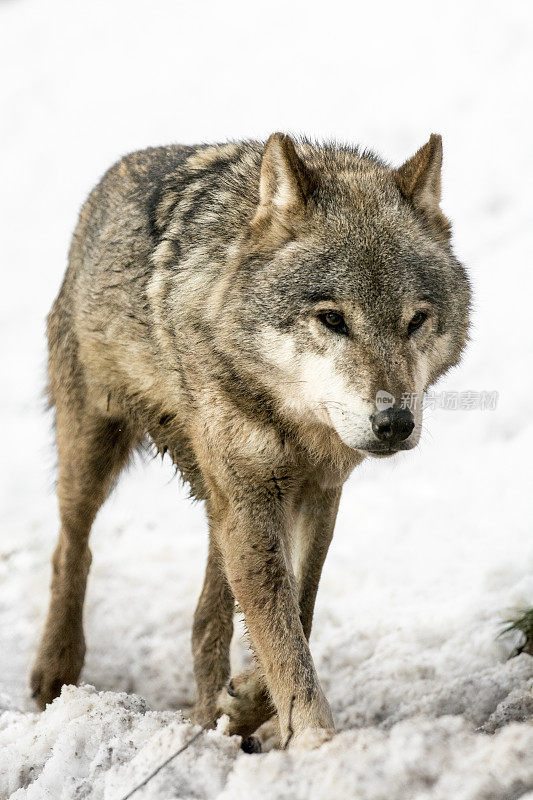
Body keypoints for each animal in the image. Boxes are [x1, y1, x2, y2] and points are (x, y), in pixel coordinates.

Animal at [30, 131, 470, 752]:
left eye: (415, 321)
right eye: (332, 319)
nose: (395, 423)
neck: (292, 419)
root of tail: (114, 174)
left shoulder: (316, 494)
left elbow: (298, 613)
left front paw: (244, 708)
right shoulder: (250, 500)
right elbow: (282, 634)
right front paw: (313, 738)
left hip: (219, 505)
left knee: (205, 618)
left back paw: (208, 720)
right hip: (95, 454)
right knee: (72, 547)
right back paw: (56, 672)